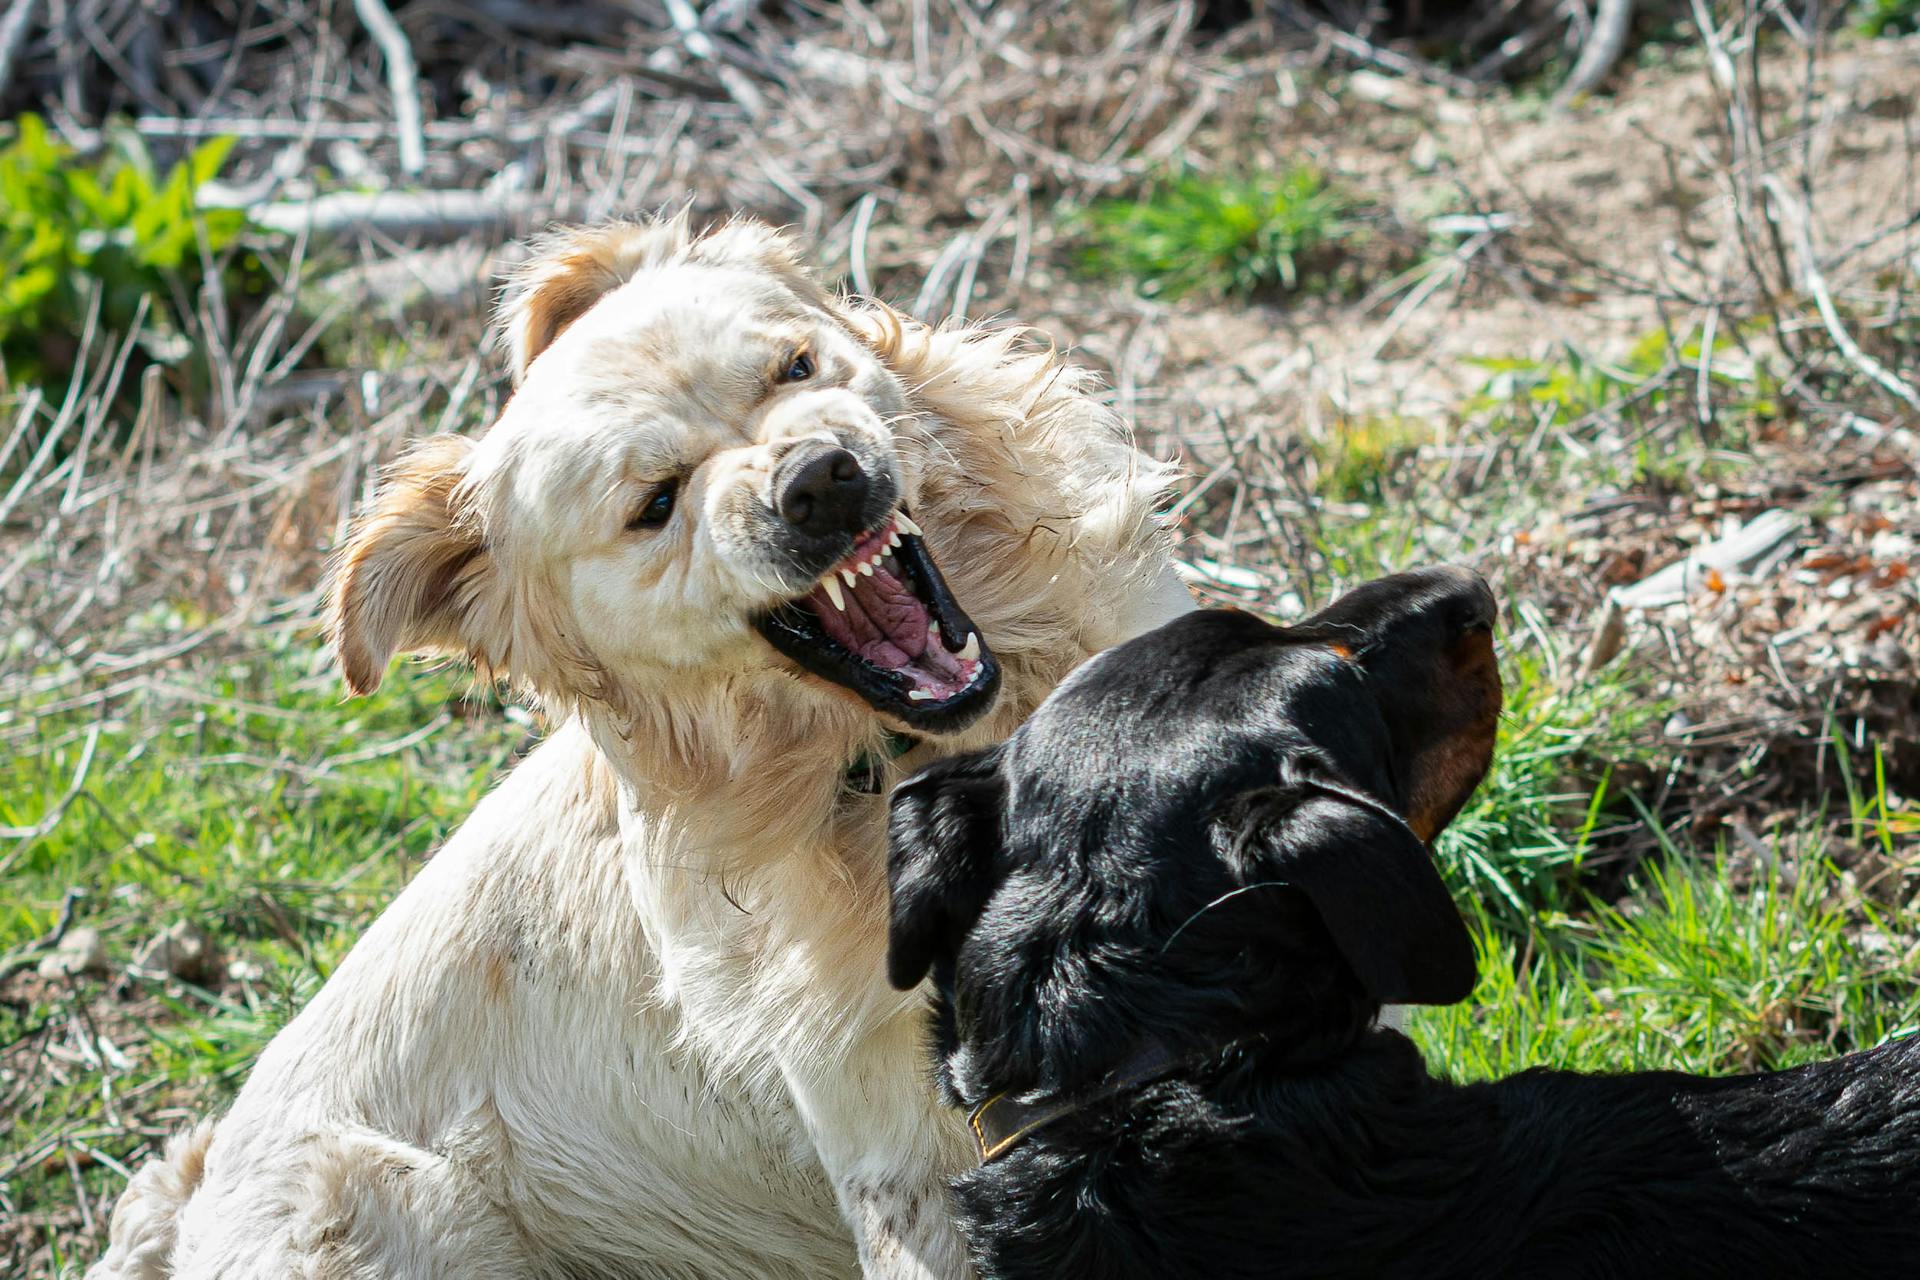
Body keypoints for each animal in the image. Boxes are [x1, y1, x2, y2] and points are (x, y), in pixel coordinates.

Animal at [97, 213, 1190, 1280]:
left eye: (794, 368)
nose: (823, 481)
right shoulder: (906, 1149)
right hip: (374, 1196)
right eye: (655, 503)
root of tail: (189, 1213)